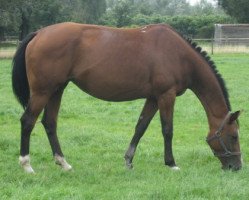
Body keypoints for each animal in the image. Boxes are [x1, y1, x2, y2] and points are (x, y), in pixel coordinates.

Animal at [11, 21, 241, 172]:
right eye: (234, 136)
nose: (236, 166)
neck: (179, 55)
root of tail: (39, 33)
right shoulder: (166, 95)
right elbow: (167, 130)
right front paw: (171, 163)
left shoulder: (153, 98)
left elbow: (141, 127)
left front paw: (128, 161)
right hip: (43, 91)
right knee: (27, 121)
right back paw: (26, 165)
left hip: (56, 90)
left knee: (49, 123)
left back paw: (64, 163)